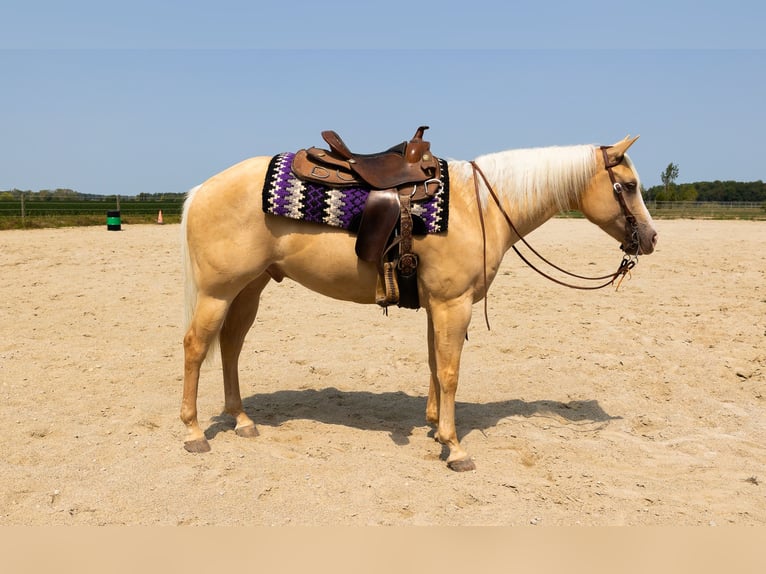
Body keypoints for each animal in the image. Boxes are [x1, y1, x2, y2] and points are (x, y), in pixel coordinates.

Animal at [182, 135, 660, 472]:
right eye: (629, 186)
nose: (652, 238)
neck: (480, 207)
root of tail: (201, 189)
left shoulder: (439, 306)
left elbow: (434, 363)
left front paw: (434, 429)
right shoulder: (453, 304)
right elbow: (450, 373)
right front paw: (454, 447)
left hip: (249, 288)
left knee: (230, 346)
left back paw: (242, 420)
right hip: (218, 291)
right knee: (196, 347)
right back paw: (193, 431)